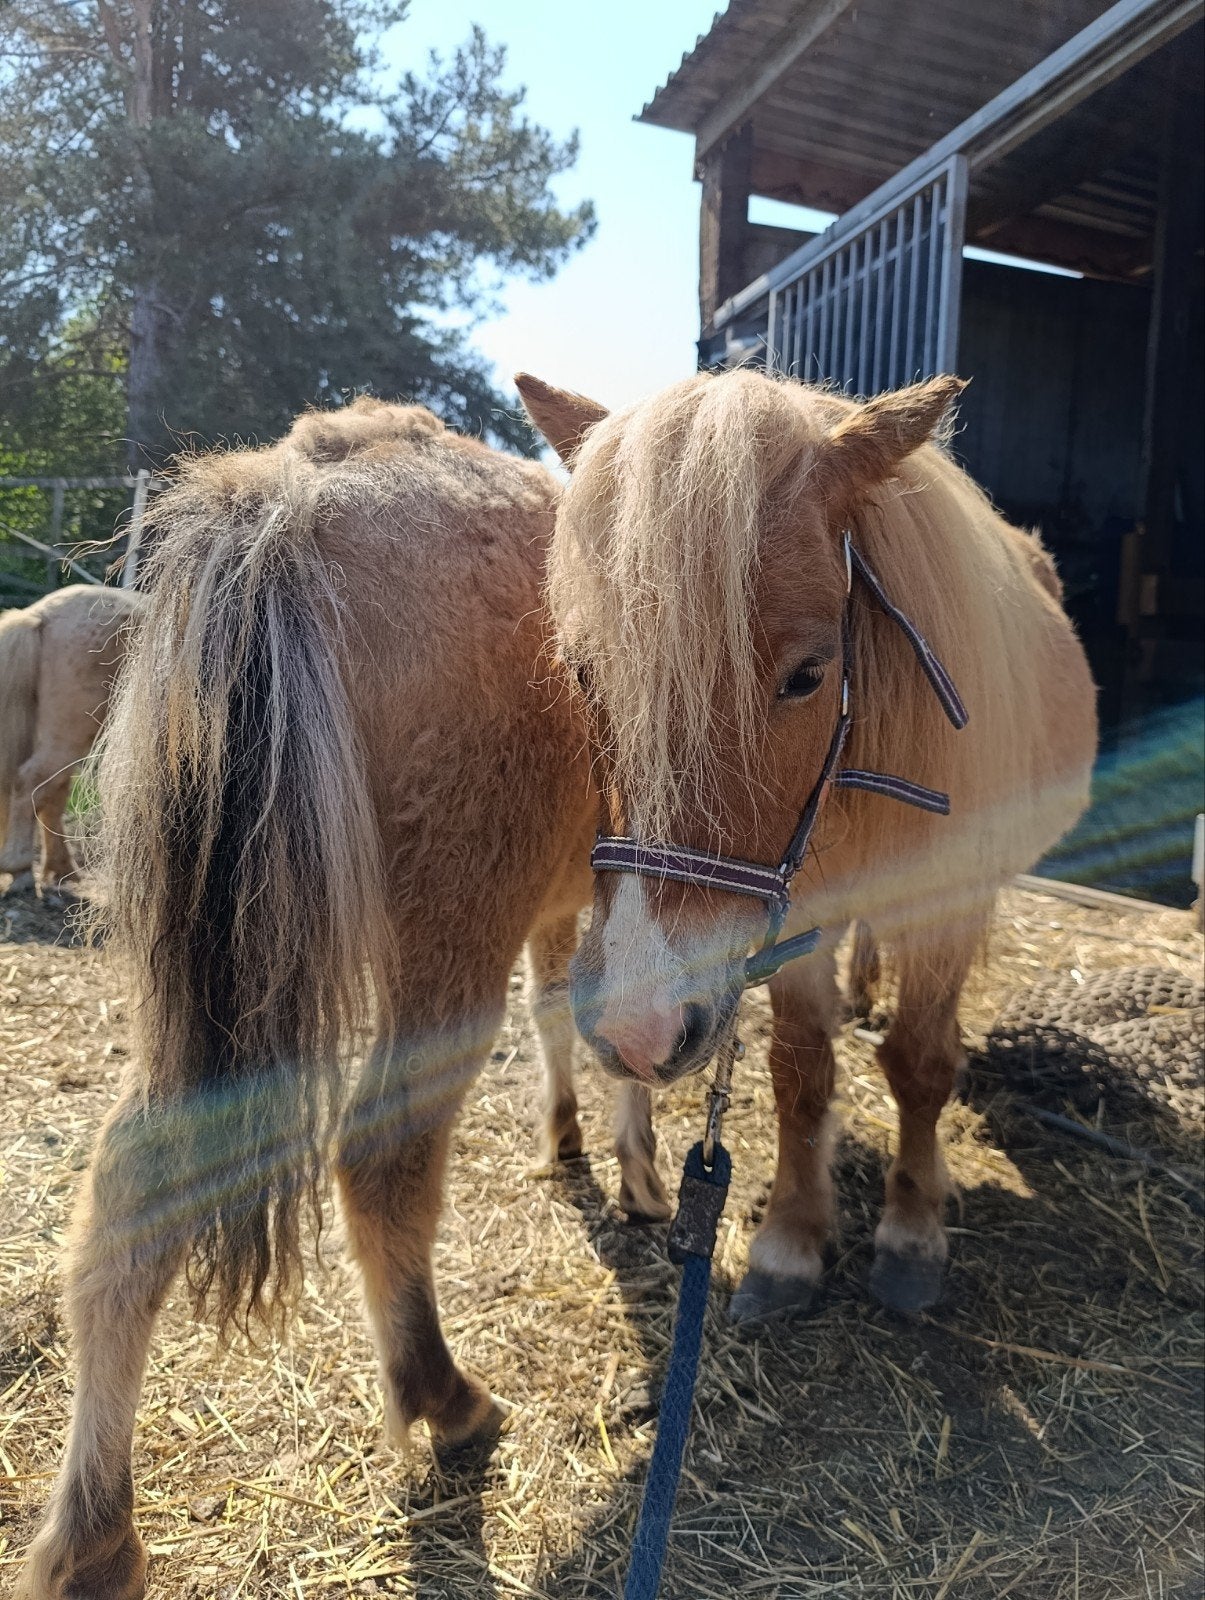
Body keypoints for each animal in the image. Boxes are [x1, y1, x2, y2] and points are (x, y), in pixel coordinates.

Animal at [0, 584, 146, 892]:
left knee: (51, 793)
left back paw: (61, 869)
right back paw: (21, 869)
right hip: (68, 736)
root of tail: (41, 613)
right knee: (31, 784)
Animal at [15, 397, 671, 1600]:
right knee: (383, 1155)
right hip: (445, 936)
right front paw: (642, 1174)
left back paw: (92, 1537)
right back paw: (444, 1396)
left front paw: (570, 1143)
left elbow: (567, 1010)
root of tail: (285, 504)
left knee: (137, 1179)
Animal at [518, 366, 1097, 1321]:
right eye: (583, 672)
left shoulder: (948, 904)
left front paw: (911, 1232)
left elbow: (919, 1063)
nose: (638, 1028)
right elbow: (800, 1072)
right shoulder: (793, 919)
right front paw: (788, 1242)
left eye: (807, 675)